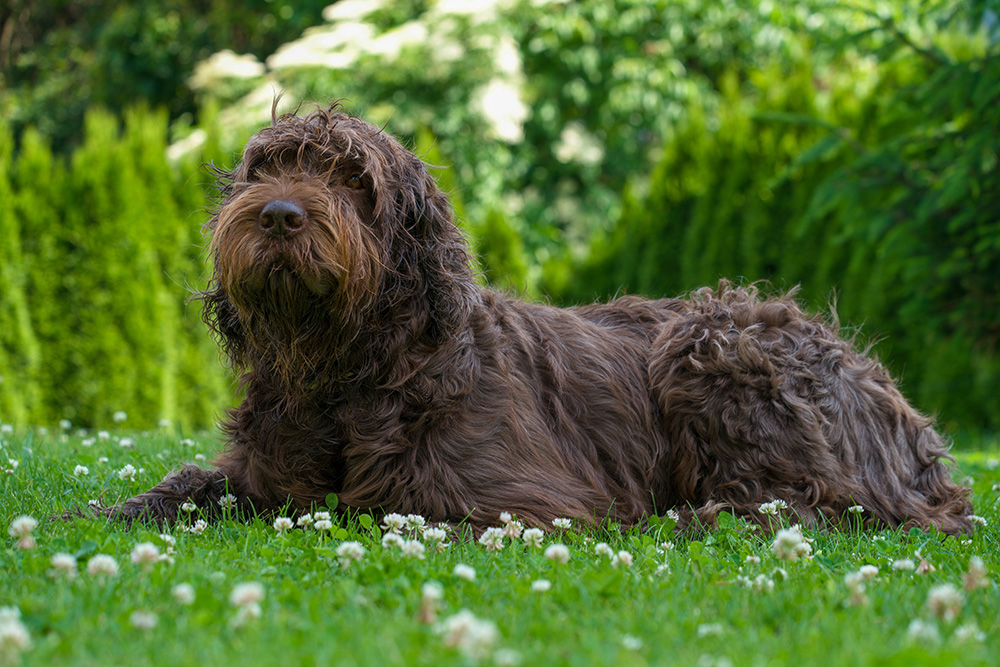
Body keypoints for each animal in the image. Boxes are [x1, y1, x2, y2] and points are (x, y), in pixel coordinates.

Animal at [107, 102, 968, 536]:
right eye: (266, 168)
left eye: (353, 178)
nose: (280, 214)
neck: (345, 370)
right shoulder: (262, 468)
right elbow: (193, 482)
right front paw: (117, 508)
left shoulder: (513, 499)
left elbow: (396, 512)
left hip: (713, 339)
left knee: (812, 504)